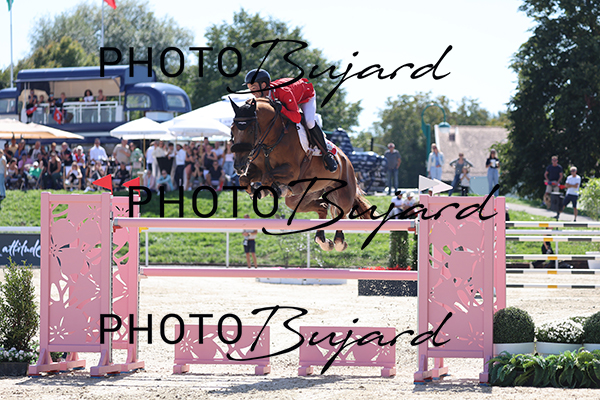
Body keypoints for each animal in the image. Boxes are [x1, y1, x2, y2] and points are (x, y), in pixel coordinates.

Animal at [229, 97, 373, 252]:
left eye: (250, 130)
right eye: (232, 129)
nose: (238, 165)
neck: (273, 139)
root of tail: (345, 159)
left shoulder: (292, 171)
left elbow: (267, 177)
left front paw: (269, 190)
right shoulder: (257, 168)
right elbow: (244, 179)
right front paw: (257, 191)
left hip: (344, 194)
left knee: (343, 211)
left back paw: (339, 242)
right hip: (302, 196)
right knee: (322, 206)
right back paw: (323, 240)